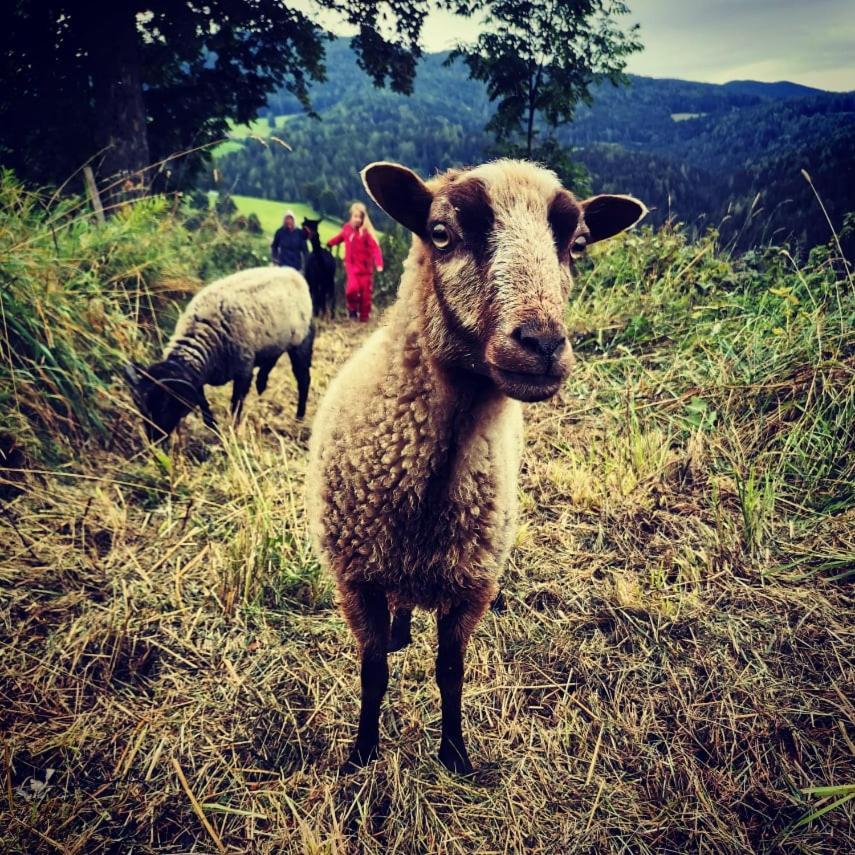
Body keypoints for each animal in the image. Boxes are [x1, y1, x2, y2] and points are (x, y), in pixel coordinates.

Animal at [125, 266, 316, 442]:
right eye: (140, 405)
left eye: (166, 405)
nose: (154, 439)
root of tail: (291, 271)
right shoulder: (198, 379)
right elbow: (204, 404)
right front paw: (214, 428)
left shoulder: (243, 370)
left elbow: (236, 405)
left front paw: (232, 433)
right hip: (274, 341)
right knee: (271, 359)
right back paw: (262, 384)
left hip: (301, 343)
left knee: (303, 380)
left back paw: (299, 418)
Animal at [304, 159, 644, 776]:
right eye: (441, 233)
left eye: (578, 244)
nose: (542, 343)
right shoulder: (356, 580)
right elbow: (373, 673)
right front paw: (362, 754)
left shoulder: (472, 586)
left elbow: (450, 673)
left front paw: (455, 754)